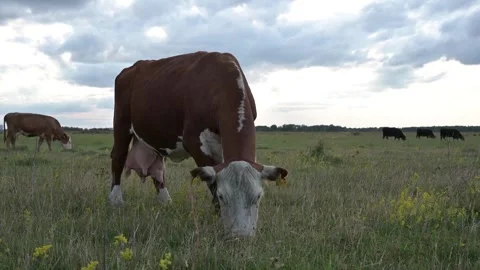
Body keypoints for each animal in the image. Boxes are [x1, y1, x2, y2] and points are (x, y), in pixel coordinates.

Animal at [109, 50, 288, 238]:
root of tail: (131, 68)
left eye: (258, 196)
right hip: (121, 124)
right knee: (118, 158)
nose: (241, 235)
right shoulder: (195, 143)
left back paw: (166, 201)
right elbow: (212, 183)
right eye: (222, 196)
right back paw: (116, 200)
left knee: (157, 170)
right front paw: (218, 221)